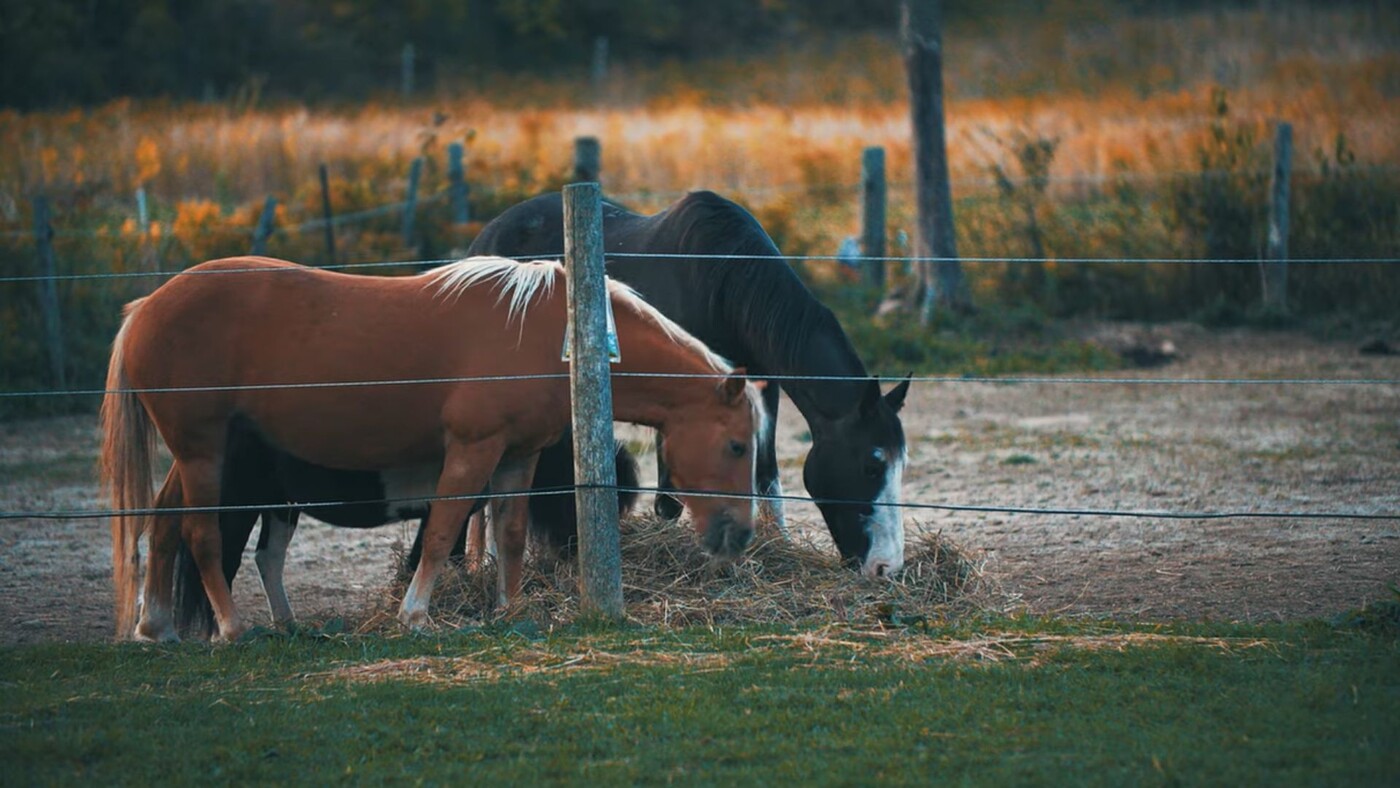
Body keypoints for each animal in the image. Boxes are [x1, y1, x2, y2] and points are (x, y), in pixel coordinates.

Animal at [171, 422, 640, 637]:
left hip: (282, 507)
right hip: (241, 506)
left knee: (267, 558)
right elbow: (432, 554)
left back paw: (287, 625)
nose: (578, 554)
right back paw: (224, 631)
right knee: (224, 558)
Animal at [466, 191, 910, 577]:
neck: (725, 281)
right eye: (872, 465)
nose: (886, 567)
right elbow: (670, 501)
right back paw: (484, 563)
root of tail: (483, 239)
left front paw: (776, 546)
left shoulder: (763, 391)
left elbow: (766, 474)